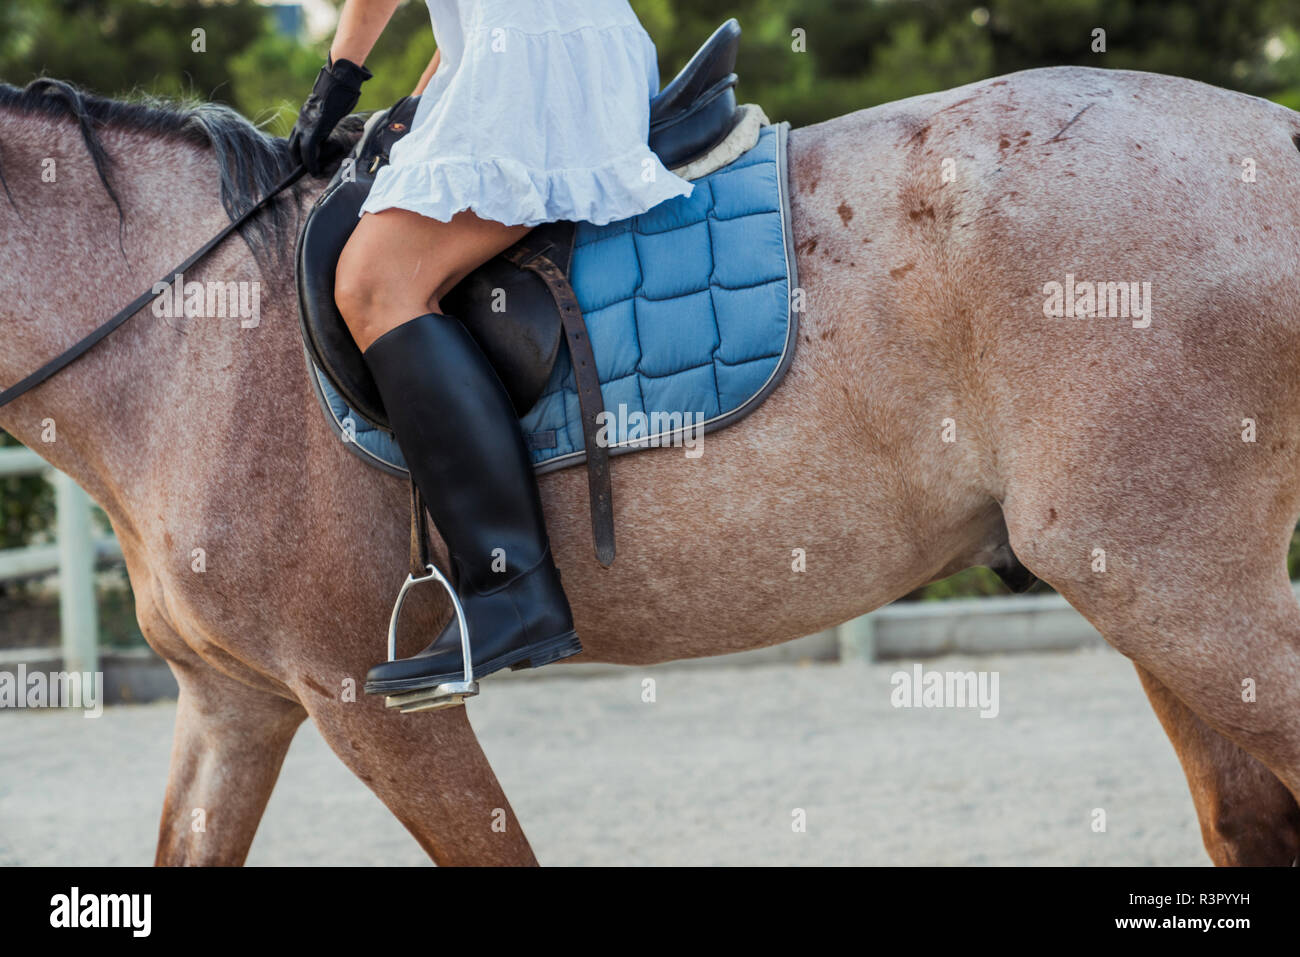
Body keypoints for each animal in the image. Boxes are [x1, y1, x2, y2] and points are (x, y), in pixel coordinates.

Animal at [2, 64, 1299, 866]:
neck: (194, 343)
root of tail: (1272, 138)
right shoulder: (233, 706)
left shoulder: (365, 701)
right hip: (1138, 592)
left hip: (1176, 587)